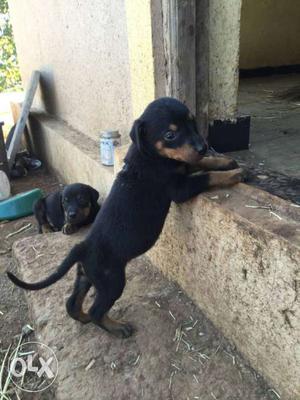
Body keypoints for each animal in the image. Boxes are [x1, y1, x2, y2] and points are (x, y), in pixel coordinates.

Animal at [8, 97, 245, 338]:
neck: (150, 156)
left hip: (87, 276)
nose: (202, 146)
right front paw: (236, 173)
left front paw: (226, 162)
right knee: (96, 310)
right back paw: (117, 327)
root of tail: (82, 247)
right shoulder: (179, 188)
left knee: (72, 303)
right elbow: (207, 176)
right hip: (111, 280)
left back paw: (83, 318)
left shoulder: (181, 165)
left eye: (192, 122)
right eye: (170, 135)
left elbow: (200, 163)